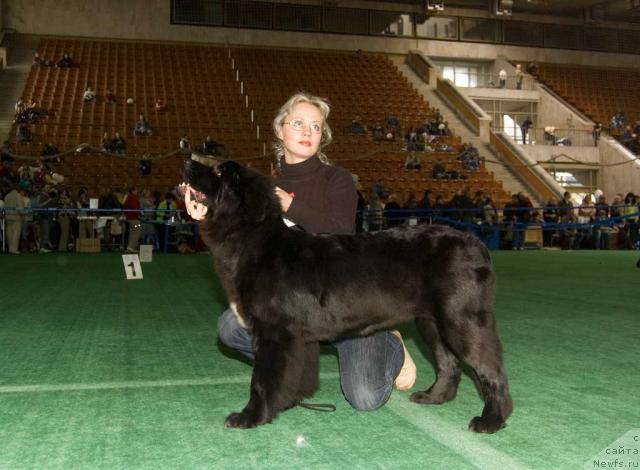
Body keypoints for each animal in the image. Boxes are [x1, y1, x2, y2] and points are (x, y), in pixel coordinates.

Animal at [182, 160, 512, 436]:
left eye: (220, 172)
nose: (187, 162)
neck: (255, 240)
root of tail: (477, 244)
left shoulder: (275, 331)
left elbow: (262, 379)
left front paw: (250, 416)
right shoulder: (296, 338)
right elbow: (293, 373)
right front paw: (292, 401)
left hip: (461, 321)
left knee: (491, 370)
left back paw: (491, 420)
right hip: (431, 323)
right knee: (449, 364)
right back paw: (433, 397)